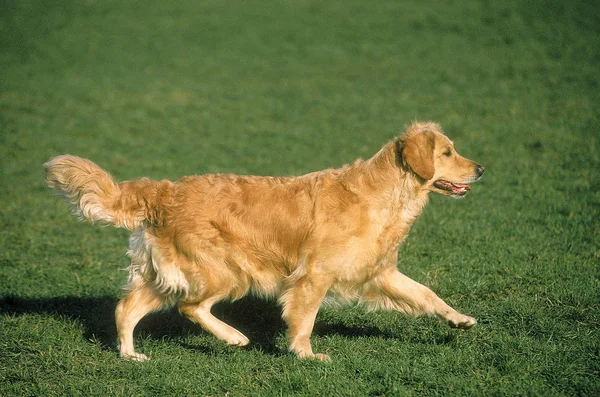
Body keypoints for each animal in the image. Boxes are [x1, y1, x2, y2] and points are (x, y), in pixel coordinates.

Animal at [43, 121, 482, 362]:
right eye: (447, 152)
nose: (480, 168)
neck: (383, 194)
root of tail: (165, 191)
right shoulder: (313, 276)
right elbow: (304, 319)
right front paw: (306, 355)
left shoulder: (379, 272)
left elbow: (426, 294)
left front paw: (458, 318)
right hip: (224, 271)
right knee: (190, 306)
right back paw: (234, 337)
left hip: (166, 274)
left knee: (126, 309)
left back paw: (131, 355)